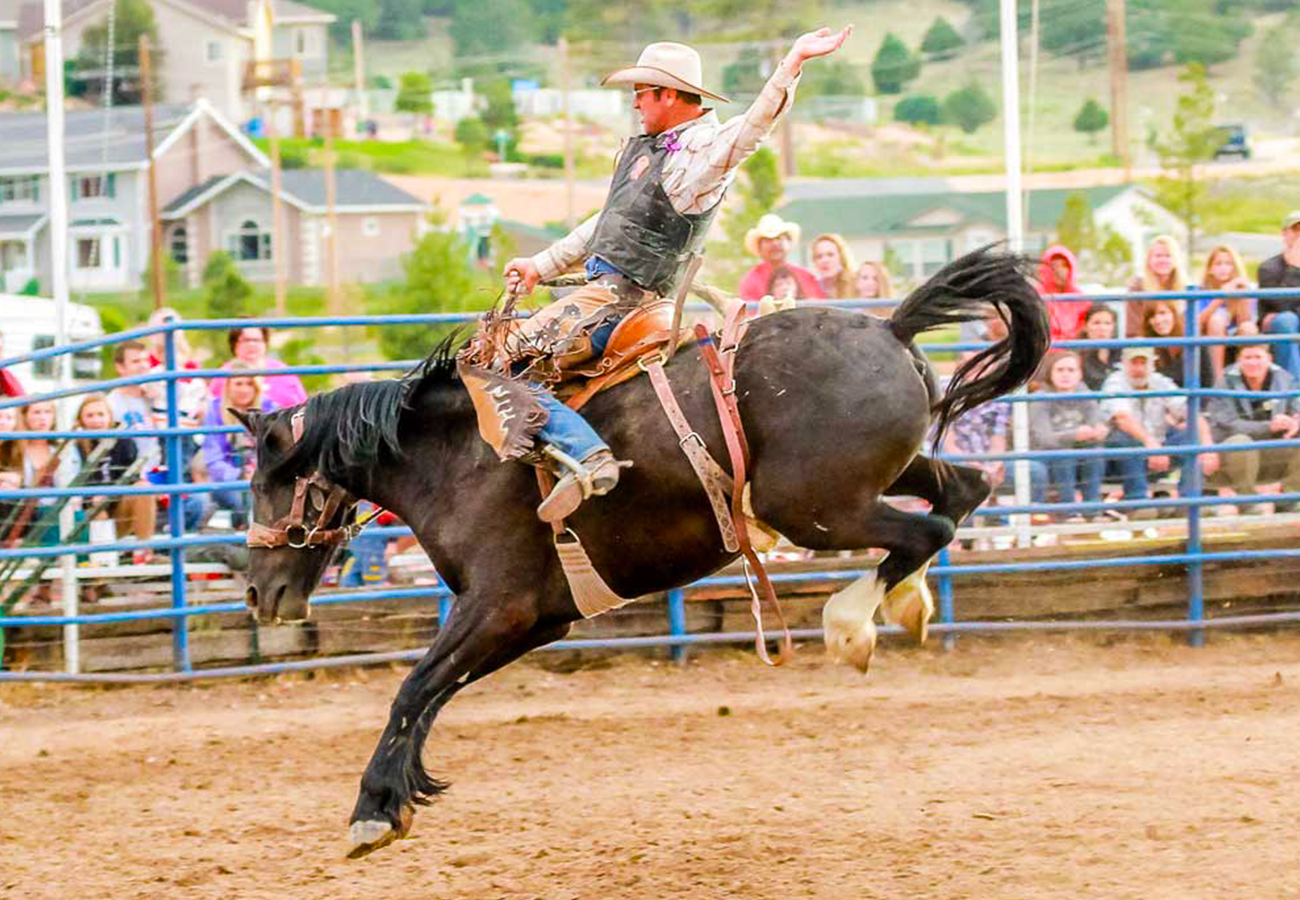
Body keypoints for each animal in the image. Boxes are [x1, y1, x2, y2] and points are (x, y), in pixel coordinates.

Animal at [236, 248, 1045, 858]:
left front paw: (373, 810)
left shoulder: (499, 606)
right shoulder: (535, 620)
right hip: (882, 476)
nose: (257, 594)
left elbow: (413, 688)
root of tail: (890, 328)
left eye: (269, 482)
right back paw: (906, 602)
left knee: (926, 532)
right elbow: (434, 693)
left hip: (817, 509)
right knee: (966, 489)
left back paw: (853, 625)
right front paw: (402, 797)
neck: (460, 455)